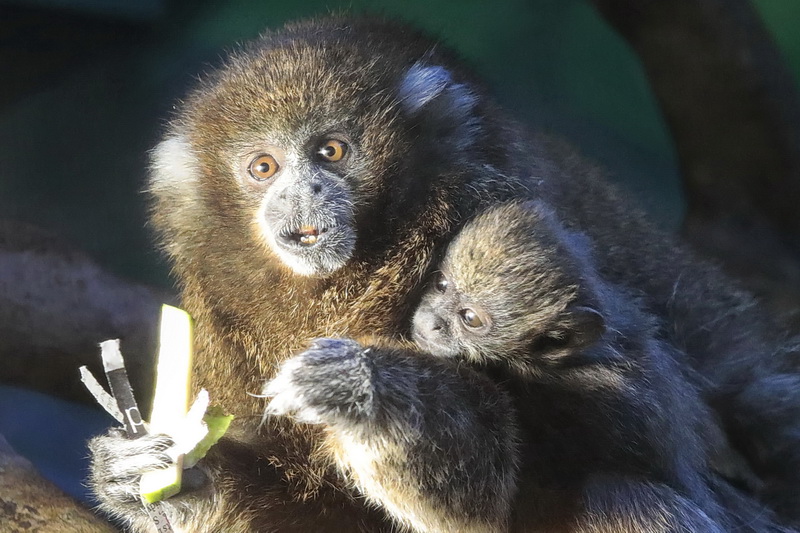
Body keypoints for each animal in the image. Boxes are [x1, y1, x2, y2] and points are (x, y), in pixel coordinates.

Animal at [266, 201, 772, 532]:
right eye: (441, 285)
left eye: (470, 319)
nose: (431, 321)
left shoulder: (584, 402)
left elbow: (484, 507)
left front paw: (357, 385)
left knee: (614, 494)